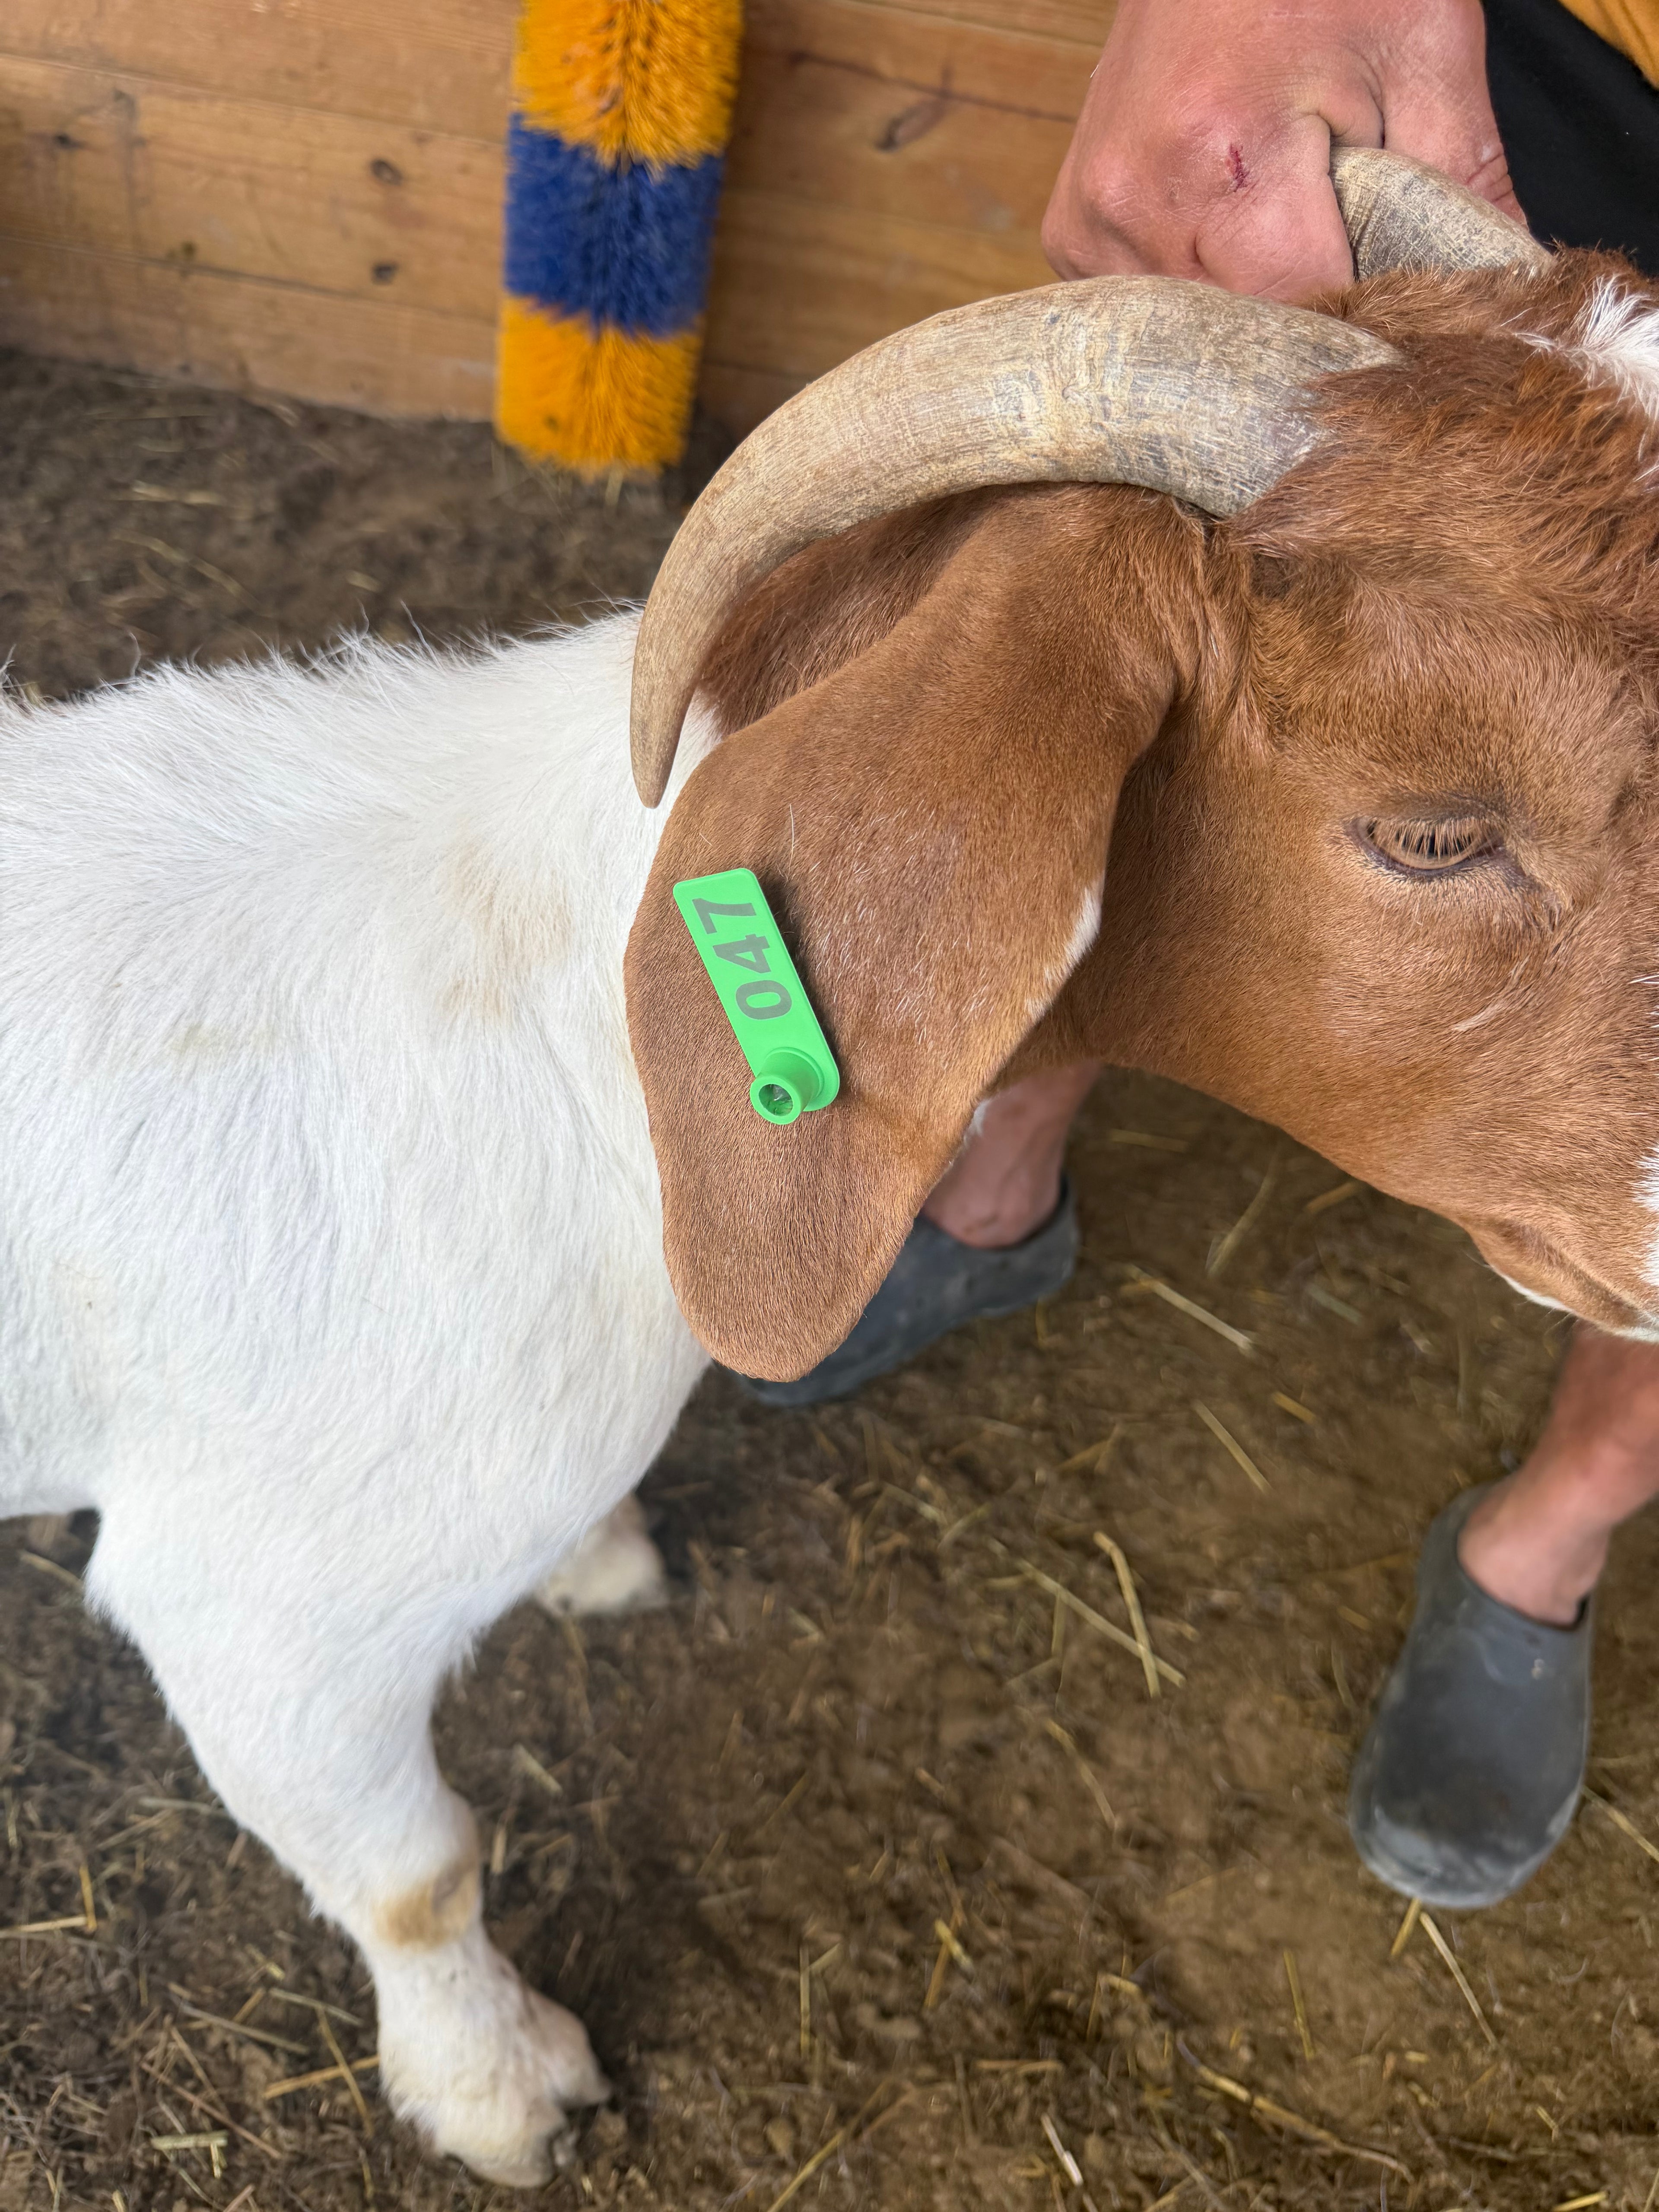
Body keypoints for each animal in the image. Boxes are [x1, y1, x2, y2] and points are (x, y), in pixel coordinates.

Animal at [3, 151, 1653, 2185]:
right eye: (1431, 831)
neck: (596, 1060)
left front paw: (598, 1566)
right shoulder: (263, 1607)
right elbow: (415, 1870)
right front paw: (502, 2090)